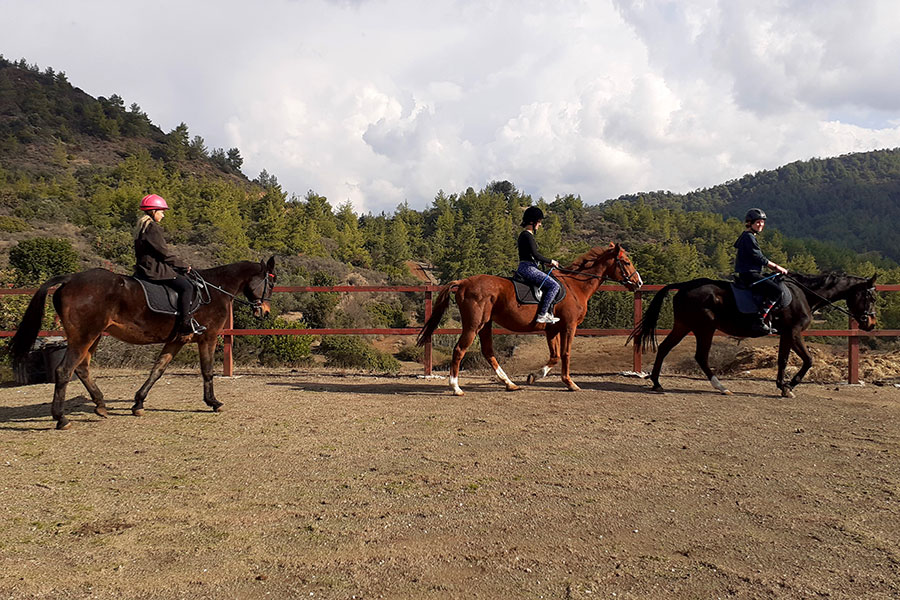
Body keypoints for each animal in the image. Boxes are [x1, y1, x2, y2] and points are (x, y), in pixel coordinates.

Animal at [9, 257, 276, 429]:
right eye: (270, 283)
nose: (264, 311)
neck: (215, 289)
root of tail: (70, 279)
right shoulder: (207, 337)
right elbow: (207, 371)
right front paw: (213, 403)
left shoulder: (176, 340)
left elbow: (157, 370)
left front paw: (138, 403)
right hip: (84, 336)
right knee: (64, 371)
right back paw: (61, 418)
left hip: (93, 336)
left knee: (82, 369)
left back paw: (101, 405)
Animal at [417, 243, 643, 395]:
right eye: (626, 262)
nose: (639, 283)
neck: (575, 286)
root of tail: (463, 282)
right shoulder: (569, 326)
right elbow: (566, 354)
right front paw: (570, 383)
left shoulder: (552, 330)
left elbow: (555, 356)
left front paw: (534, 376)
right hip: (474, 325)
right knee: (459, 350)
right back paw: (455, 387)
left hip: (485, 324)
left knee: (488, 352)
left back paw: (509, 383)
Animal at [629, 272, 878, 397]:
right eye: (871, 297)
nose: (871, 323)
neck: (804, 294)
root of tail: (685, 286)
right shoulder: (794, 332)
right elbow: (808, 360)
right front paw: (790, 387)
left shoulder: (786, 334)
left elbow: (783, 360)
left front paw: (782, 386)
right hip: (704, 328)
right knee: (700, 356)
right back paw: (721, 387)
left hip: (684, 325)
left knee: (665, 348)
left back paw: (657, 383)